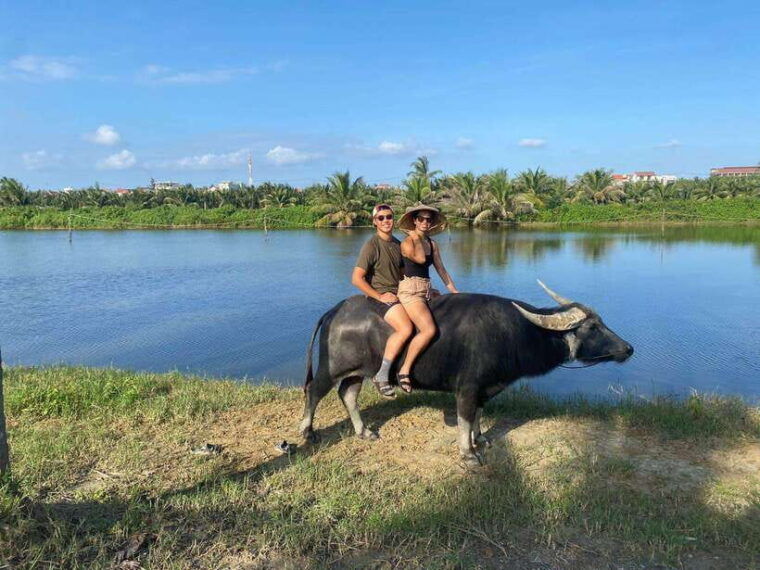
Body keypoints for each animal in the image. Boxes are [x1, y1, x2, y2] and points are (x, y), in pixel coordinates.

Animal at [300, 281, 633, 466]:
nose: (628, 349)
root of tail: (335, 311)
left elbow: (478, 416)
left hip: (358, 372)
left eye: (601, 322)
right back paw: (307, 432)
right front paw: (469, 454)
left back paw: (363, 431)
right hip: (332, 367)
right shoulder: (468, 388)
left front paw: (481, 438)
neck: (515, 333)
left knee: (348, 394)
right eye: (592, 327)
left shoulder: (488, 387)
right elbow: (464, 419)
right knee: (314, 391)